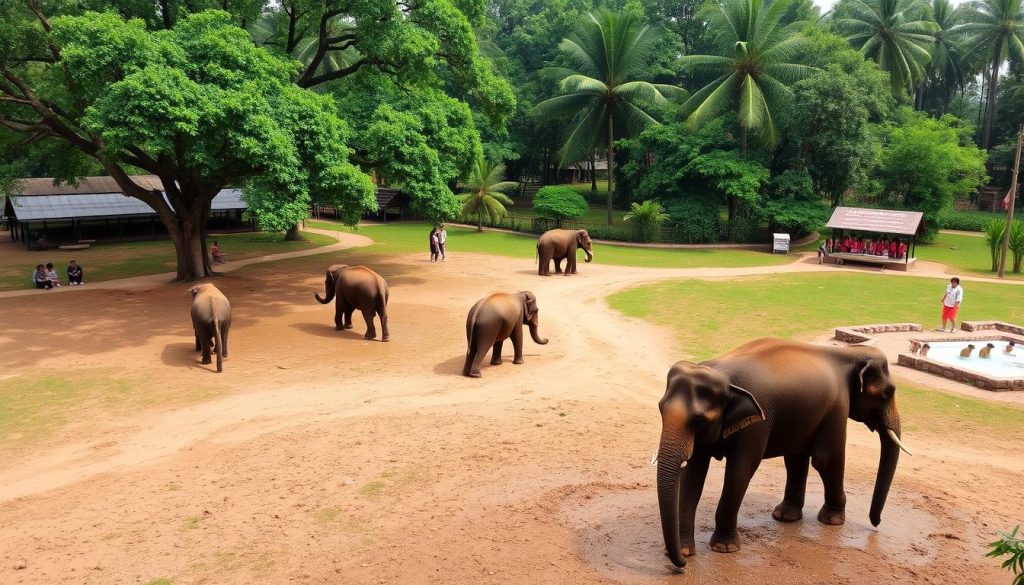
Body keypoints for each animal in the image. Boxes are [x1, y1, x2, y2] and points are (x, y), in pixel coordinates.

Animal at [655, 338, 911, 568]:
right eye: (660, 409)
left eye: (699, 419)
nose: (875, 522)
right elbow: (693, 473)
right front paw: (686, 551)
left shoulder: (770, 421)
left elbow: (743, 470)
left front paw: (723, 548)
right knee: (796, 458)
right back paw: (785, 517)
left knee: (801, 458)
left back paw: (793, 518)